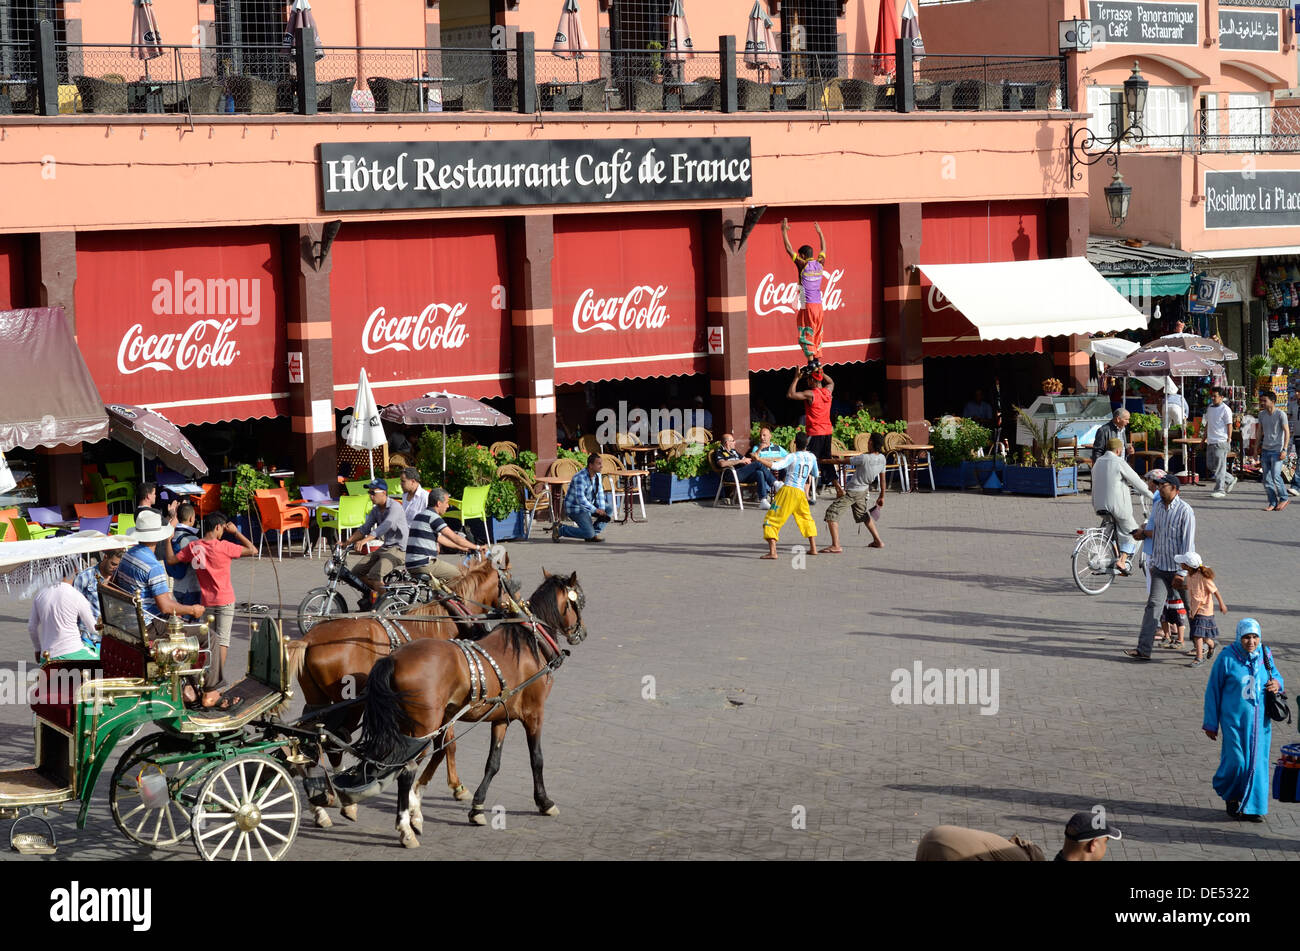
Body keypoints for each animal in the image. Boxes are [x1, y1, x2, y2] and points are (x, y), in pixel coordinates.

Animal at [287, 556, 509, 826]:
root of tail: (309, 639)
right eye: (510, 583)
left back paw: (318, 803)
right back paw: (342, 802)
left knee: (307, 739)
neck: (442, 623)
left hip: (317, 701)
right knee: (333, 741)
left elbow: (444, 744)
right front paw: (457, 787)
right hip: (350, 704)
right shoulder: (442, 707)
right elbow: (448, 744)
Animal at [358, 569, 587, 852]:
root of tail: (394, 658)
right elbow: (537, 759)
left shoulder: (501, 718)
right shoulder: (535, 714)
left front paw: (477, 806)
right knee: (407, 770)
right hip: (423, 728)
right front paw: (544, 801)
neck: (528, 644)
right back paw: (405, 828)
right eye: (579, 602)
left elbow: (493, 763)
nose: (582, 632)